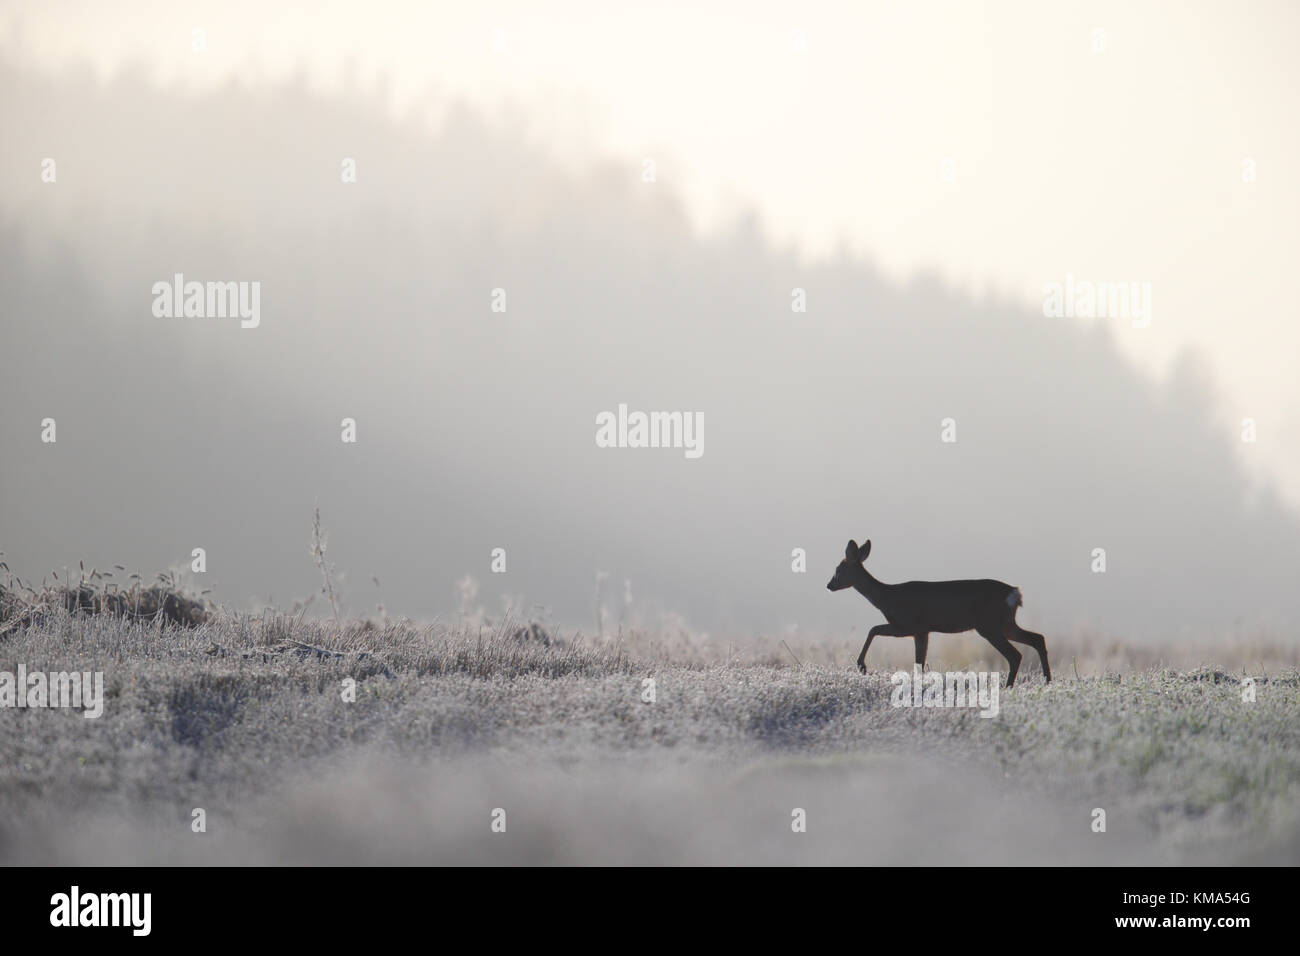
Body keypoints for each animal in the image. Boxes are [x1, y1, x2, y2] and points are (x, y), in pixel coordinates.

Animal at [826, 538, 1050, 686]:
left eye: (838, 569)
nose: (829, 585)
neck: (887, 598)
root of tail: (1014, 593)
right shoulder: (923, 631)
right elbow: (919, 662)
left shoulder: (908, 625)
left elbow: (873, 629)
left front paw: (861, 666)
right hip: (1006, 623)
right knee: (1037, 638)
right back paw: (1047, 681)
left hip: (989, 625)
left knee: (1015, 655)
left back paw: (1008, 687)